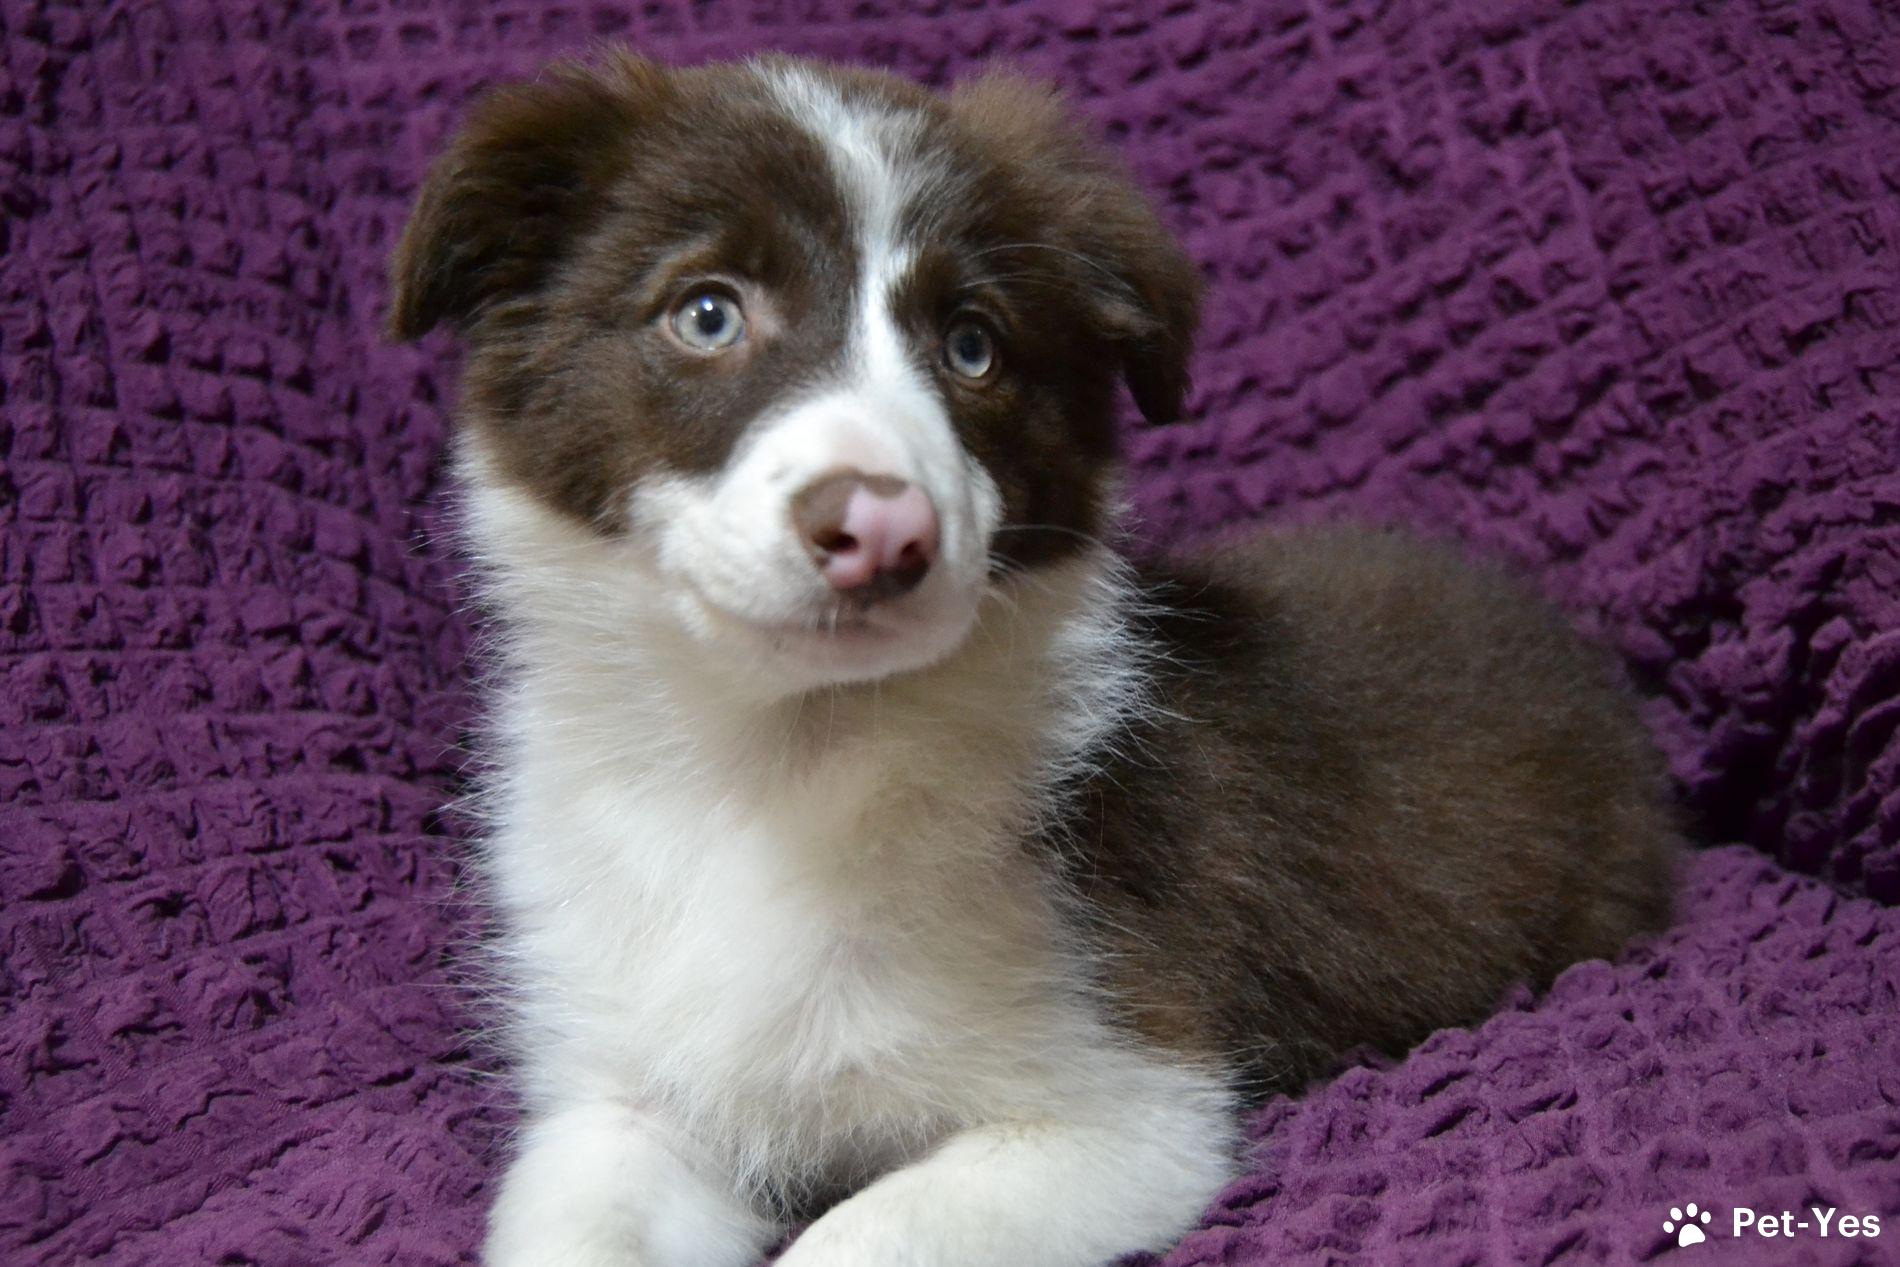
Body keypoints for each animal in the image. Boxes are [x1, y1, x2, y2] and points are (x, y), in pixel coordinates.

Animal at [389, 49, 1678, 1267]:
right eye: (706, 313)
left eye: (973, 346)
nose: (884, 531)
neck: (783, 759)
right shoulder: (617, 1101)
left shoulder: (1125, 1107)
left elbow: (861, 1235)